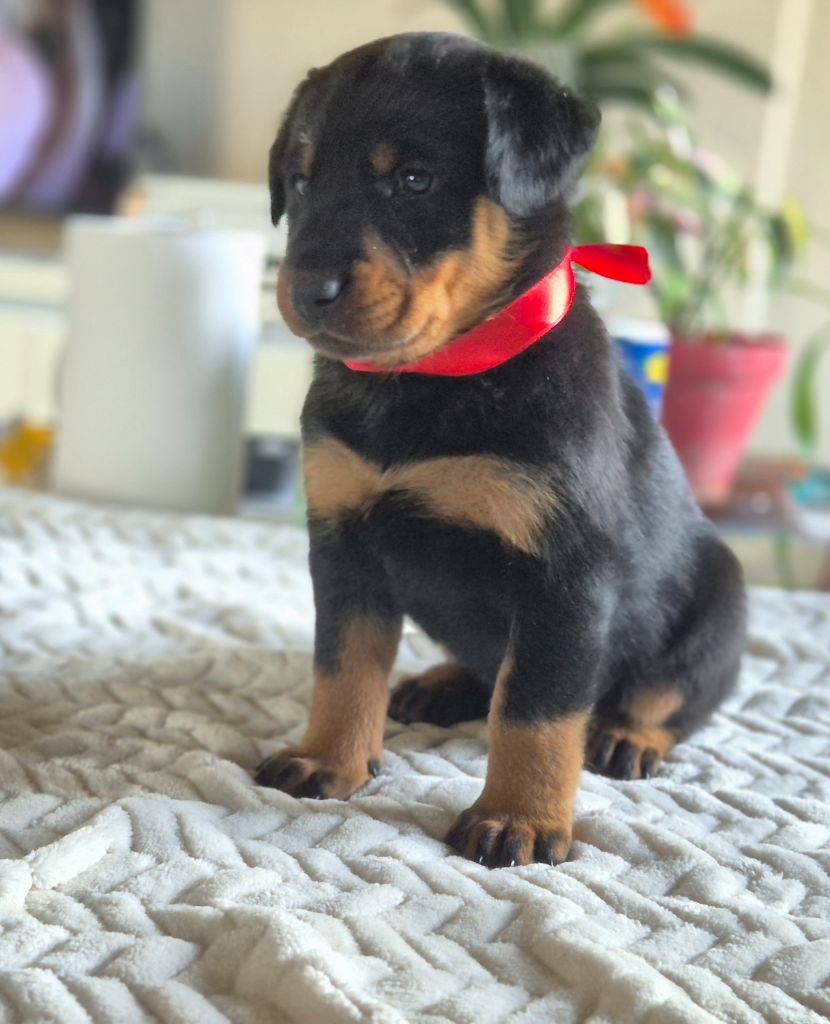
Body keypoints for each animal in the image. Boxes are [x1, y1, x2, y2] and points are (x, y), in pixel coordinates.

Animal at [255, 32, 747, 868]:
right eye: (299, 178)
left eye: (413, 179)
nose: (306, 288)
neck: (435, 378)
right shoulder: (344, 543)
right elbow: (344, 667)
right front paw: (328, 758)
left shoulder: (566, 575)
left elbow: (536, 710)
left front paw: (520, 817)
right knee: (485, 667)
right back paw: (441, 682)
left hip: (721, 601)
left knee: (668, 694)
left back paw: (628, 737)